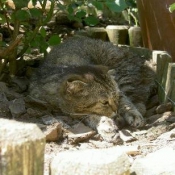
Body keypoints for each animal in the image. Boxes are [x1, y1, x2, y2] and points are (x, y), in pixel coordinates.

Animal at [28, 36, 156, 143]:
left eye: (115, 97)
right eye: (104, 102)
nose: (115, 110)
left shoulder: (120, 92)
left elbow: (125, 102)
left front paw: (132, 114)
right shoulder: (70, 111)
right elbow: (94, 116)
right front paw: (107, 127)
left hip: (125, 73)